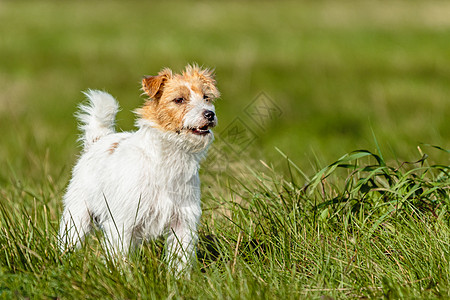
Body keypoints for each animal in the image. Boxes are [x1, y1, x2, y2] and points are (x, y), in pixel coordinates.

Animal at [59, 63, 221, 274]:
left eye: (206, 97)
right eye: (179, 99)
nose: (210, 114)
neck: (168, 157)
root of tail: (98, 140)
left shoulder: (183, 222)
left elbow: (180, 258)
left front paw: (179, 278)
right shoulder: (122, 222)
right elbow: (118, 255)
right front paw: (122, 276)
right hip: (77, 214)